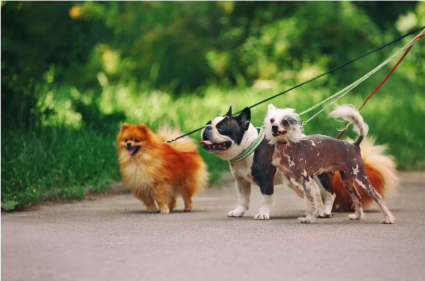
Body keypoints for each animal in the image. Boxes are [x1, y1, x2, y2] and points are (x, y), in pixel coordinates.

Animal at [199, 105, 334, 221]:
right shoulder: (241, 182)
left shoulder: (266, 182)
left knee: (329, 194)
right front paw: (238, 212)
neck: (248, 148)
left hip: (320, 177)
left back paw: (325, 212)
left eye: (221, 128)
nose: (207, 127)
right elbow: (242, 198)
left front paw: (262, 214)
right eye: (207, 123)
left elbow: (265, 199)